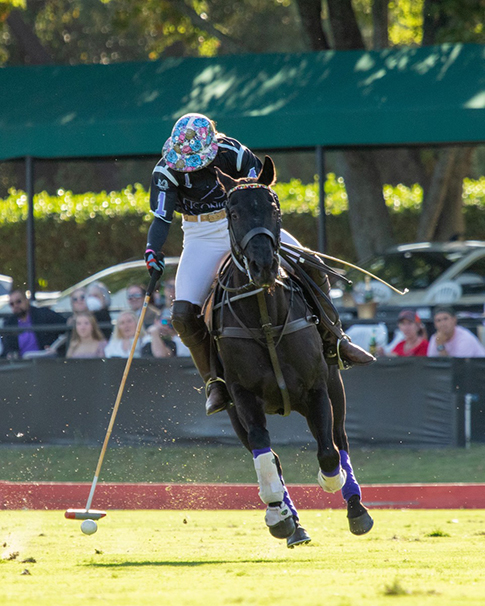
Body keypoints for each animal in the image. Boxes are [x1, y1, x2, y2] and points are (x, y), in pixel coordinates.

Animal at [209, 158, 374, 548]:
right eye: (232, 213)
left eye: (275, 208)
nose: (264, 265)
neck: (265, 319)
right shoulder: (242, 396)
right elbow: (265, 452)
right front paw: (277, 513)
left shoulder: (316, 388)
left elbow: (328, 452)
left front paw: (331, 482)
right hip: (233, 411)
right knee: (269, 454)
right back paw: (290, 521)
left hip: (335, 385)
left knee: (340, 439)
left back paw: (356, 508)